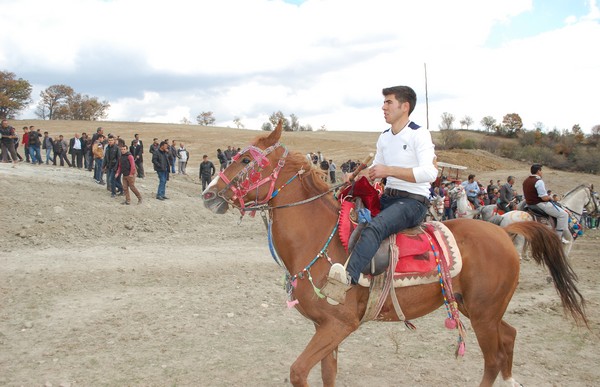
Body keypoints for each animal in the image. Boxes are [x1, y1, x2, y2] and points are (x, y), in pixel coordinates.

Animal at [202, 123, 584, 387]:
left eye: (246, 159)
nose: (208, 194)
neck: (321, 240)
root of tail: (503, 231)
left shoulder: (339, 325)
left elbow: (298, 372)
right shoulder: (326, 328)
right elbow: (327, 375)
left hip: (483, 315)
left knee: (493, 358)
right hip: (480, 310)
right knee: (510, 335)